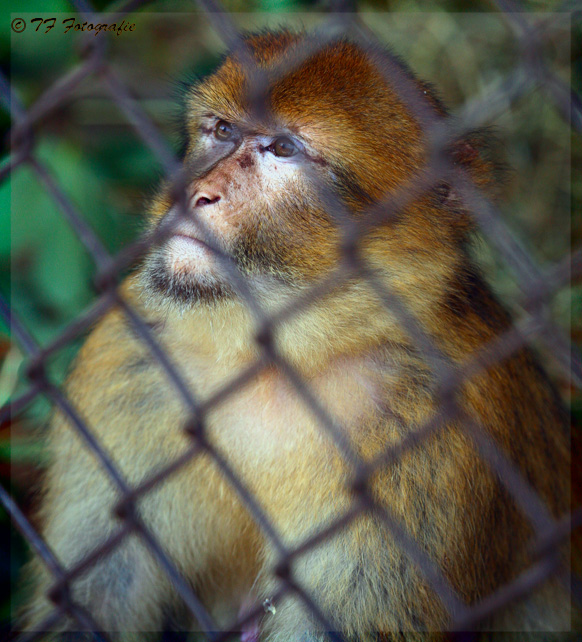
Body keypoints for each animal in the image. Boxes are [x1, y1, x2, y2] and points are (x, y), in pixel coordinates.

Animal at [20, 28, 572, 640]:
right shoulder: (131, 352)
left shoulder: (434, 435)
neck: (274, 361)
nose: (196, 194)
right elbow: (92, 597)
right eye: (223, 130)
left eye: (283, 150)